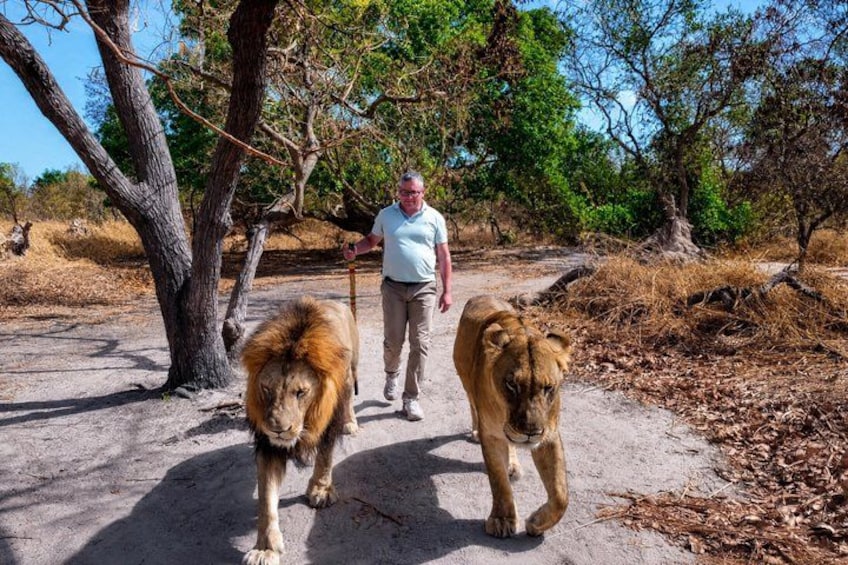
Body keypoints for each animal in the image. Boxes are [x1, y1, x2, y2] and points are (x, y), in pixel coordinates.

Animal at [241, 296, 359, 565]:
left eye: (301, 392)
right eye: (266, 389)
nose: (278, 430)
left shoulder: (327, 422)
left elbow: (324, 458)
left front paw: (321, 491)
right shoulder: (268, 446)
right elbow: (266, 498)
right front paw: (265, 549)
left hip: (349, 372)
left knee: (349, 397)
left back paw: (350, 424)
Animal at [453, 294, 572, 538]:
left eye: (548, 388)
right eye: (511, 385)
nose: (530, 433)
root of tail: (482, 295)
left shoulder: (549, 434)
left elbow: (560, 493)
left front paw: (537, 522)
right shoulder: (491, 434)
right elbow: (498, 480)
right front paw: (502, 520)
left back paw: (513, 464)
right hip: (465, 381)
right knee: (472, 405)